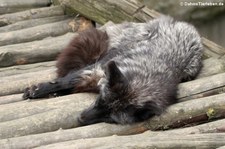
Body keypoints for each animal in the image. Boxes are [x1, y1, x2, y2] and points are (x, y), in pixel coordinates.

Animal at [22, 16, 202, 125]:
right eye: (100, 100)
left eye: (110, 117)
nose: (80, 119)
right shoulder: (99, 67)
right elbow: (63, 81)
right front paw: (37, 90)